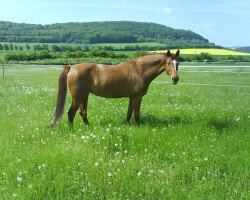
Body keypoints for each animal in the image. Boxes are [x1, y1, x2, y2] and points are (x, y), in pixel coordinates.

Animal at [50, 49, 180, 126]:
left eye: (178, 63)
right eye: (168, 63)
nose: (175, 79)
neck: (140, 70)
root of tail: (72, 67)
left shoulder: (132, 97)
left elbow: (129, 112)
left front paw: (126, 125)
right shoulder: (137, 97)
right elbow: (136, 114)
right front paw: (136, 127)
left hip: (84, 96)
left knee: (82, 113)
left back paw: (88, 127)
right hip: (77, 97)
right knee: (71, 113)